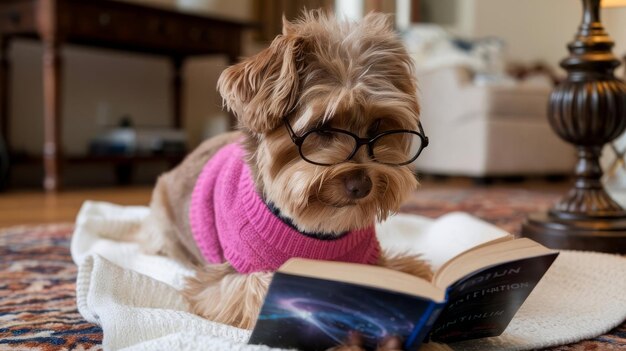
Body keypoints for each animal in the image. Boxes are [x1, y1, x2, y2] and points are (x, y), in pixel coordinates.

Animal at [138, 9, 428, 350]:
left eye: (379, 126)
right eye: (323, 128)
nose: (361, 185)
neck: (316, 232)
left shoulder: (374, 262)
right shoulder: (224, 281)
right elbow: (264, 294)